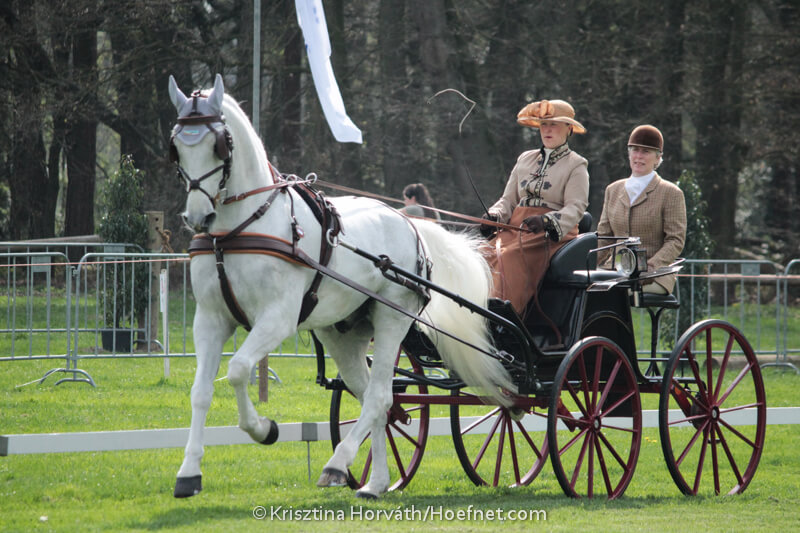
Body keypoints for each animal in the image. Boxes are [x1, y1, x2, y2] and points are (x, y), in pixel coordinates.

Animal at [168, 73, 513, 499]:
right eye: (177, 147)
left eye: (220, 145)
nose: (198, 216)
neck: (239, 229)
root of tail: (408, 222)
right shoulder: (210, 319)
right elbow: (200, 392)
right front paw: (189, 472)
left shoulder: (277, 318)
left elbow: (237, 370)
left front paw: (264, 429)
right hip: (343, 332)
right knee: (375, 400)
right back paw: (375, 482)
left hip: (392, 319)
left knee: (380, 396)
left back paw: (338, 464)